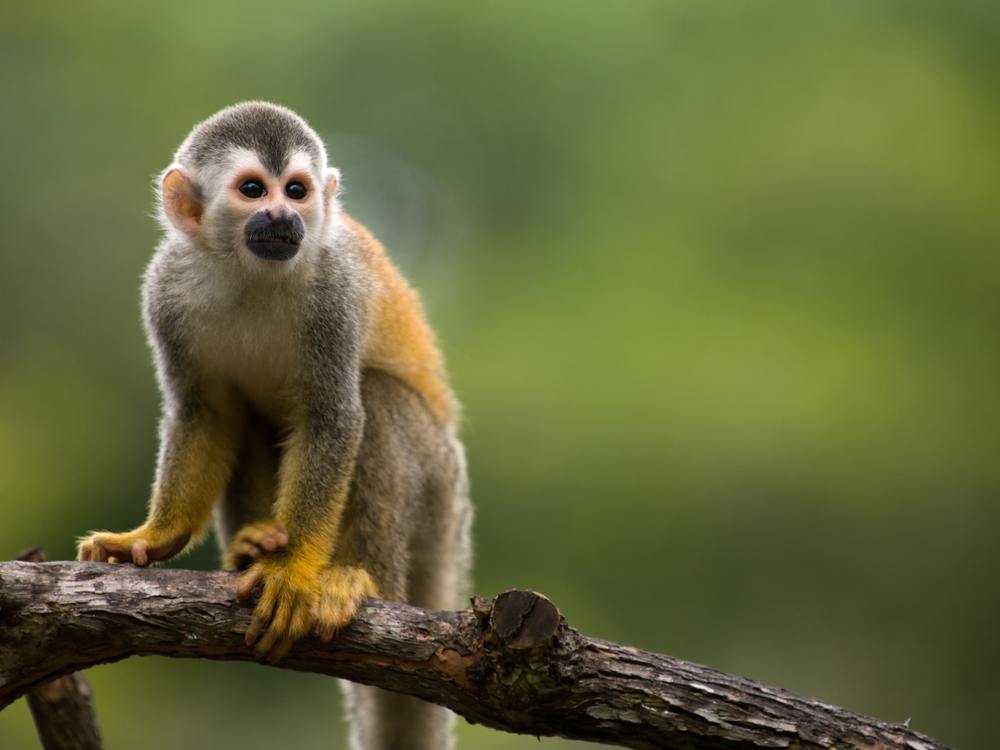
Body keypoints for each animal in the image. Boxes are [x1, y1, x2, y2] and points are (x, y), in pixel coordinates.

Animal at [76, 102, 472, 750]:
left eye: (297, 190)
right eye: (253, 190)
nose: (285, 216)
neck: (249, 272)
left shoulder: (335, 290)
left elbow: (334, 417)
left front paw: (292, 571)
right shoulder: (164, 290)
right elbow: (205, 413)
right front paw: (154, 537)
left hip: (442, 494)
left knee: (377, 399)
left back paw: (358, 581)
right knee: (248, 416)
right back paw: (251, 544)